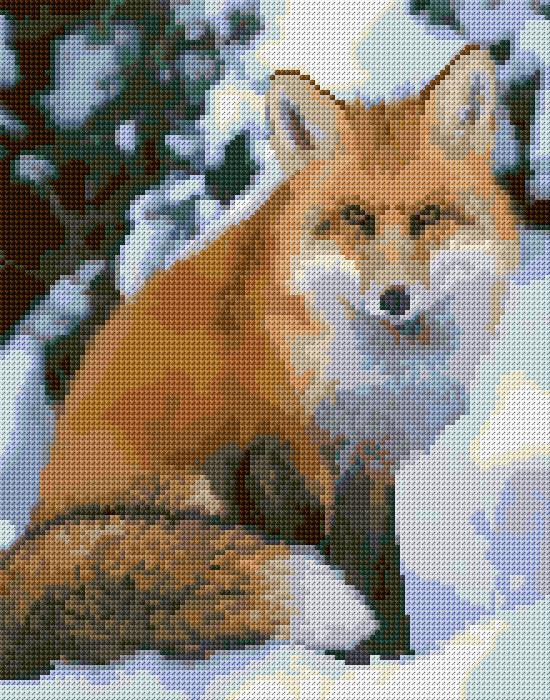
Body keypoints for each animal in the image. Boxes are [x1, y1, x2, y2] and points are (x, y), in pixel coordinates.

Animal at [0, 45, 520, 678]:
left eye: (428, 216)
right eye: (355, 216)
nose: (394, 297)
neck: (384, 367)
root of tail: (37, 522)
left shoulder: (376, 454)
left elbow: (383, 572)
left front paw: (398, 660)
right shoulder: (304, 445)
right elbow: (343, 559)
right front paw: (356, 662)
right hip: (188, 490)